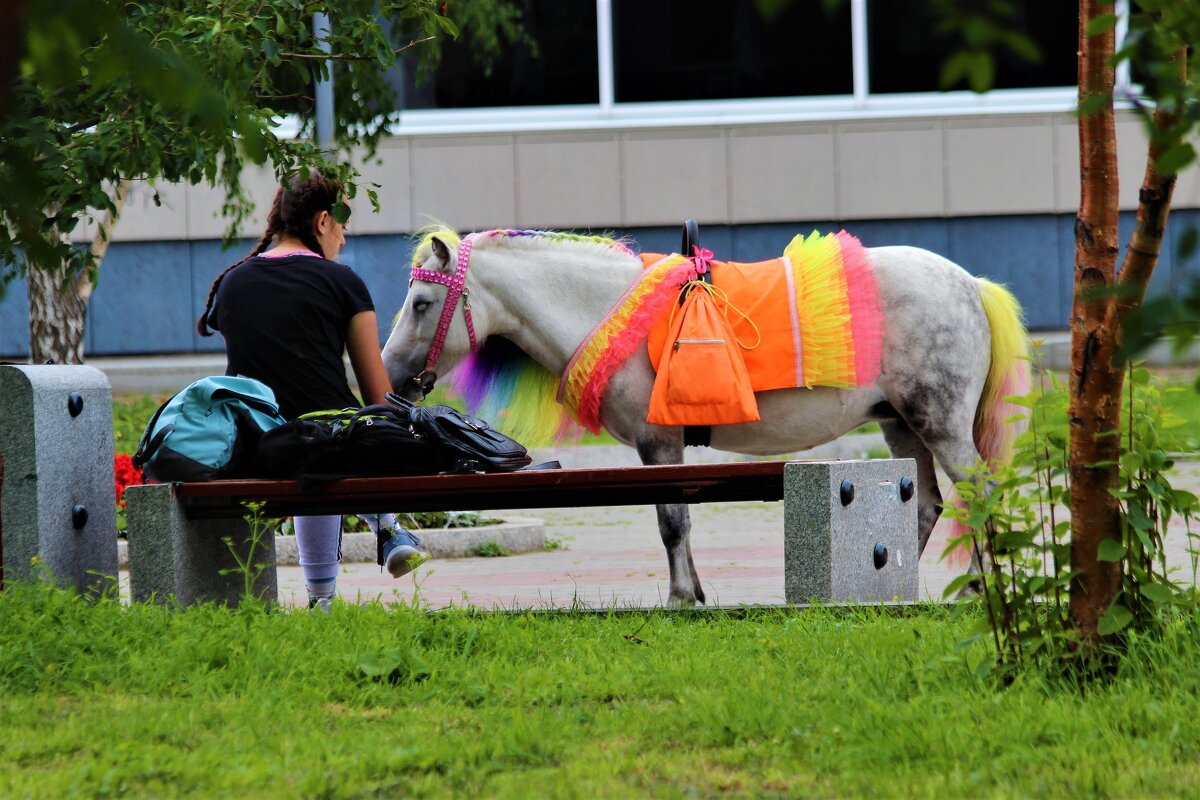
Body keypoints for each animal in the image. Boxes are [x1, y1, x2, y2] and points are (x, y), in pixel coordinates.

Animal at [384, 226, 1032, 606]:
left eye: (422, 302)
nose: (389, 375)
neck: (616, 314)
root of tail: (970, 285)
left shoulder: (659, 444)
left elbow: (672, 520)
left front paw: (677, 598)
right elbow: (680, 520)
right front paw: (692, 592)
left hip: (939, 422)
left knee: (980, 494)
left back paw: (979, 590)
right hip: (900, 424)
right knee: (923, 506)